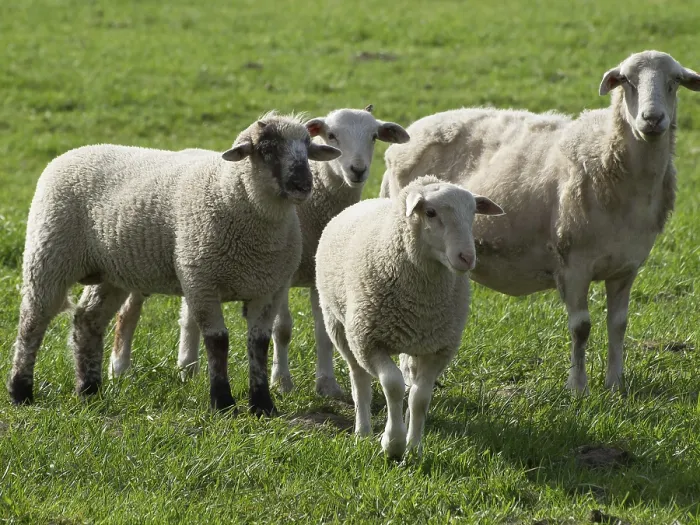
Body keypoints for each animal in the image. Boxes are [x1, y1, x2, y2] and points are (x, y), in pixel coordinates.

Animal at [7, 112, 341, 415]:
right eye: (267, 149)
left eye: (307, 148)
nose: (303, 185)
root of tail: (74, 152)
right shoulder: (201, 281)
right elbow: (217, 342)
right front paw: (222, 402)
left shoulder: (268, 288)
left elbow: (258, 344)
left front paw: (262, 405)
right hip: (49, 255)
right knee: (32, 322)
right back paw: (20, 391)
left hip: (110, 272)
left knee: (87, 320)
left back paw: (89, 390)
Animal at [108, 106, 410, 399]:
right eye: (332, 135)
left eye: (374, 137)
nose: (357, 170)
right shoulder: (281, 276)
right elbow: (282, 329)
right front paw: (281, 382)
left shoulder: (316, 276)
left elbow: (323, 332)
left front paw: (327, 386)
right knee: (128, 312)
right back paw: (119, 369)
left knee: (189, 316)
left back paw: (188, 369)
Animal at [315, 175, 504, 458]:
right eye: (430, 212)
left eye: (473, 213)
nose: (467, 258)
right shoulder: (369, 341)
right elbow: (393, 385)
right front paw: (393, 443)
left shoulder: (438, 348)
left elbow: (420, 398)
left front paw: (414, 447)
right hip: (340, 327)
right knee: (359, 379)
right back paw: (363, 431)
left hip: (415, 342)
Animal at [379, 50, 700, 394]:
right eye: (626, 80)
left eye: (675, 81)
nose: (652, 119)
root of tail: (408, 136)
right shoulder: (573, 264)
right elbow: (581, 327)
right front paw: (578, 388)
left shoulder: (626, 267)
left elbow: (618, 324)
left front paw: (615, 385)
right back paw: (410, 379)